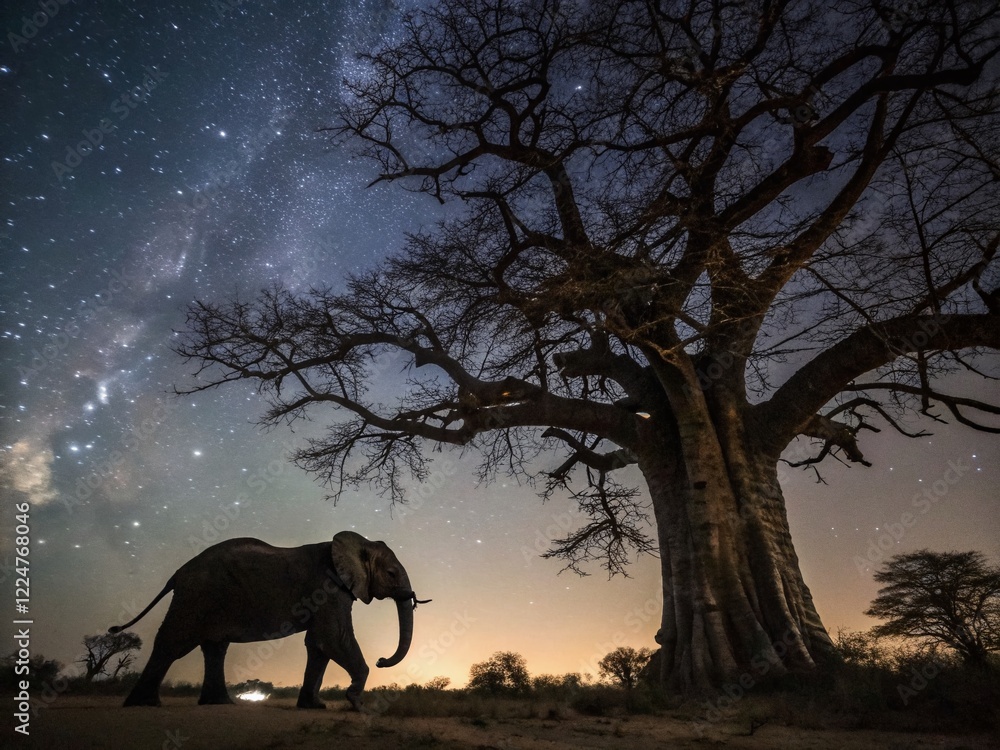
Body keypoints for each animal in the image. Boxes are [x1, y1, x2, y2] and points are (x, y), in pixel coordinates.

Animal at [108, 530, 429, 709]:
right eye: (391, 574)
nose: (381, 660)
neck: (358, 543)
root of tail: (177, 574)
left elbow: (318, 645)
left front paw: (315, 707)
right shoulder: (327, 588)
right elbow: (332, 639)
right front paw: (357, 705)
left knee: (214, 647)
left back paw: (219, 703)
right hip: (197, 595)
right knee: (175, 641)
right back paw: (144, 704)